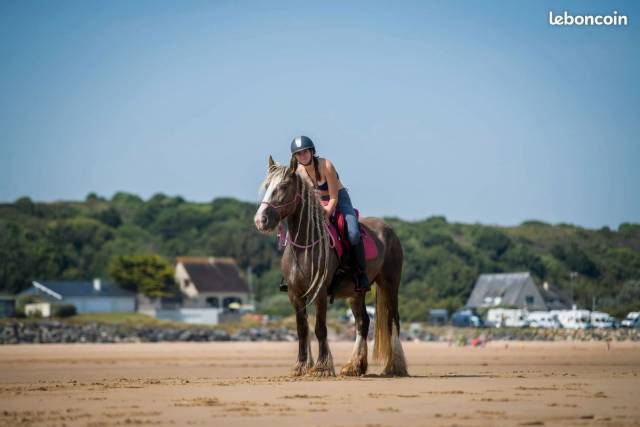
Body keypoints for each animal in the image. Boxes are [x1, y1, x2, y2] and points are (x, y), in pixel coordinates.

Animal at [254, 157, 408, 378]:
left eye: (282, 187)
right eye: (267, 186)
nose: (260, 220)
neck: (306, 245)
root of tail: (388, 229)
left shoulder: (320, 293)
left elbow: (320, 328)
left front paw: (322, 366)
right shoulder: (295, 294)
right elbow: (302, 329)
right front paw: (301, 366)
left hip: (390, 284)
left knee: (393, 320)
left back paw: (395, 366)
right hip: (356, 292)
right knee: (362, 322)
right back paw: (354, 366)